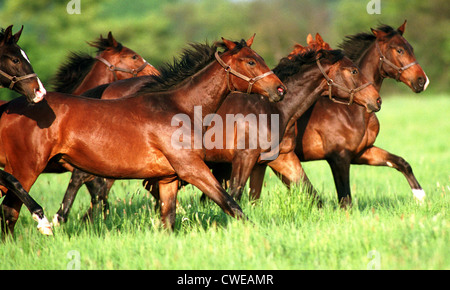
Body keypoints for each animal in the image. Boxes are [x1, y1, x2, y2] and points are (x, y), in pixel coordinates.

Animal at [0, 36, 286, 236]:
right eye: (251, 61)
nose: (280, 89)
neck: (177, 108)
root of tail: (9, 108)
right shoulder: (191, 168)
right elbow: (231, 204)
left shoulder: (168, 178)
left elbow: (169, 219)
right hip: (27, 168)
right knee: (11, 208)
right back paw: (43, 223)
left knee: (9, 209)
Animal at [250, 21, 428, 207]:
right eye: (400, 50)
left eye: (411, 48)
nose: (422, 81)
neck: (351, 111)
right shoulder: (339, 158)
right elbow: (345, 198)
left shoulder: (362, 152)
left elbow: (401, 162)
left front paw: (421, 198)